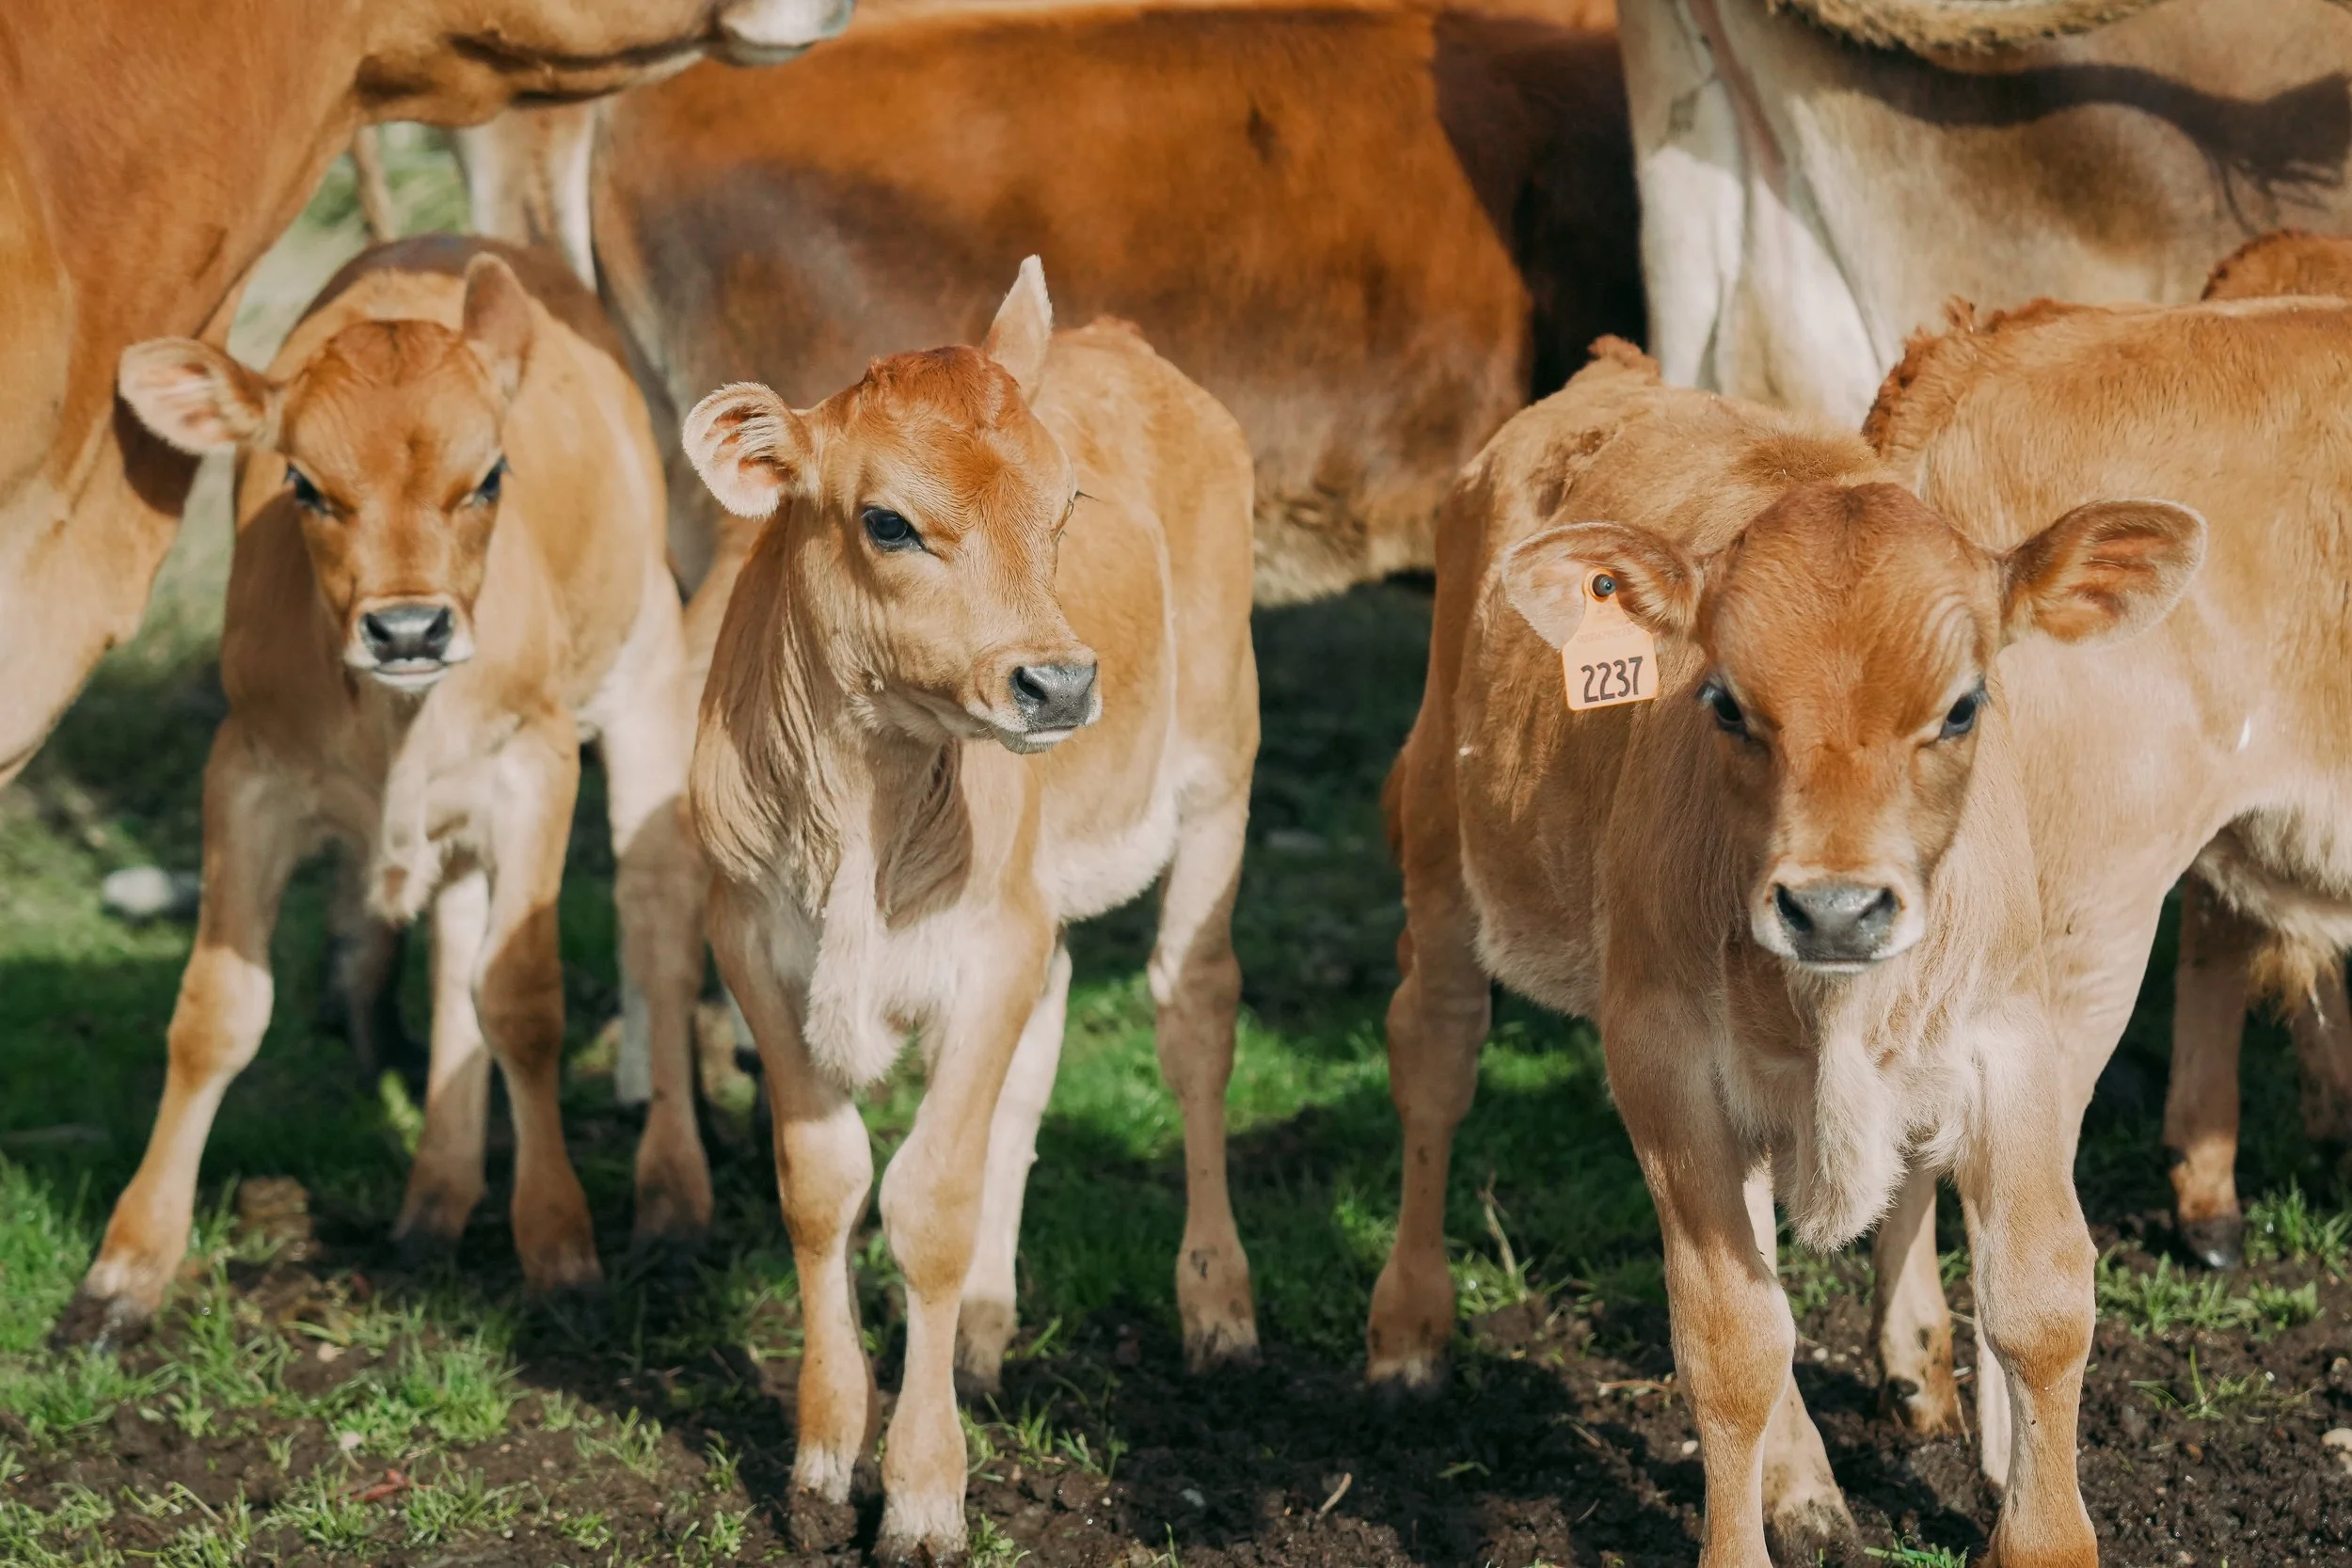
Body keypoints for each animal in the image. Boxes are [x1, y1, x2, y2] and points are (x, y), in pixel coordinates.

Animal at [59, 239, 710, 1348]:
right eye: (305, 484)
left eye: (488, 476)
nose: (409, 629)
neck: (398, 720)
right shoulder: (246, 772)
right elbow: (217, 1010)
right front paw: (128, 1266)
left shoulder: (537, 765)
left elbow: (524, 1001)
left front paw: (562, 1249)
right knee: (455, 951)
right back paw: (434, 1202)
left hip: (646, 682)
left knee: (656, 923)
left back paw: (671, 1196)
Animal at [681, 261, 1258, 1563]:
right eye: (889, 521)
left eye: (1063, 507)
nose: (1060, 683)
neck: (858, 803)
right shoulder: (751, 944)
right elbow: (821, 1186)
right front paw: (823, 1453)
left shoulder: (991, 945)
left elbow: (927, 1202)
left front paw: (925, 1490)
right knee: (1037, 1064)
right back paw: (991, 1325)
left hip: (1220, 773)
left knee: (1193, 1015)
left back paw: (1216, 1299)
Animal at [1364, 338, 2203, 1564]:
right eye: (1722, 702)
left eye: (1963, 706)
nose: (1836, 908)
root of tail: (1617, 369)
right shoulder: (1664, 1061)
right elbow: (1728, 1339)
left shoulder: (2014, 1042)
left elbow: (2043, 1301)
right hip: (1441, 840)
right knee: (1432, 1059)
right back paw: (1408, 1331)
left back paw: (1801, 1475)